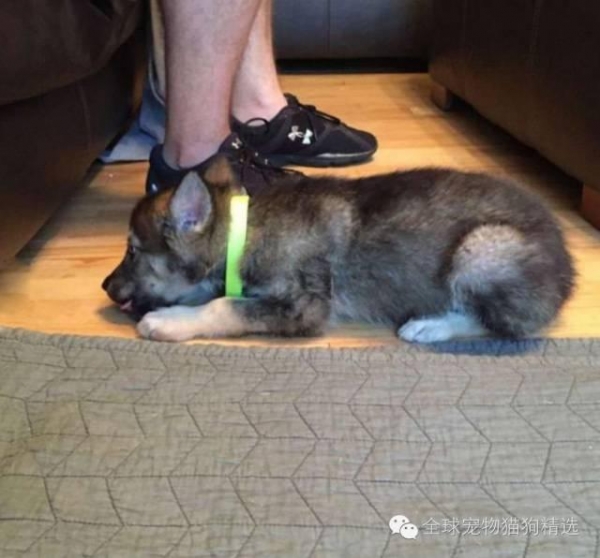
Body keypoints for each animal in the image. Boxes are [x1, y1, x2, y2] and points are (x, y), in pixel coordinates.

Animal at [102, 157, 575, 343]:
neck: (247, 232)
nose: (105, 286)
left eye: (132, 251)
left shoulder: (304, 304)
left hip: (482, 248)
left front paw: (169, 321)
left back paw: (430, 326)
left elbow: (225, 306)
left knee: (504, 325)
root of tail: (567, 268)